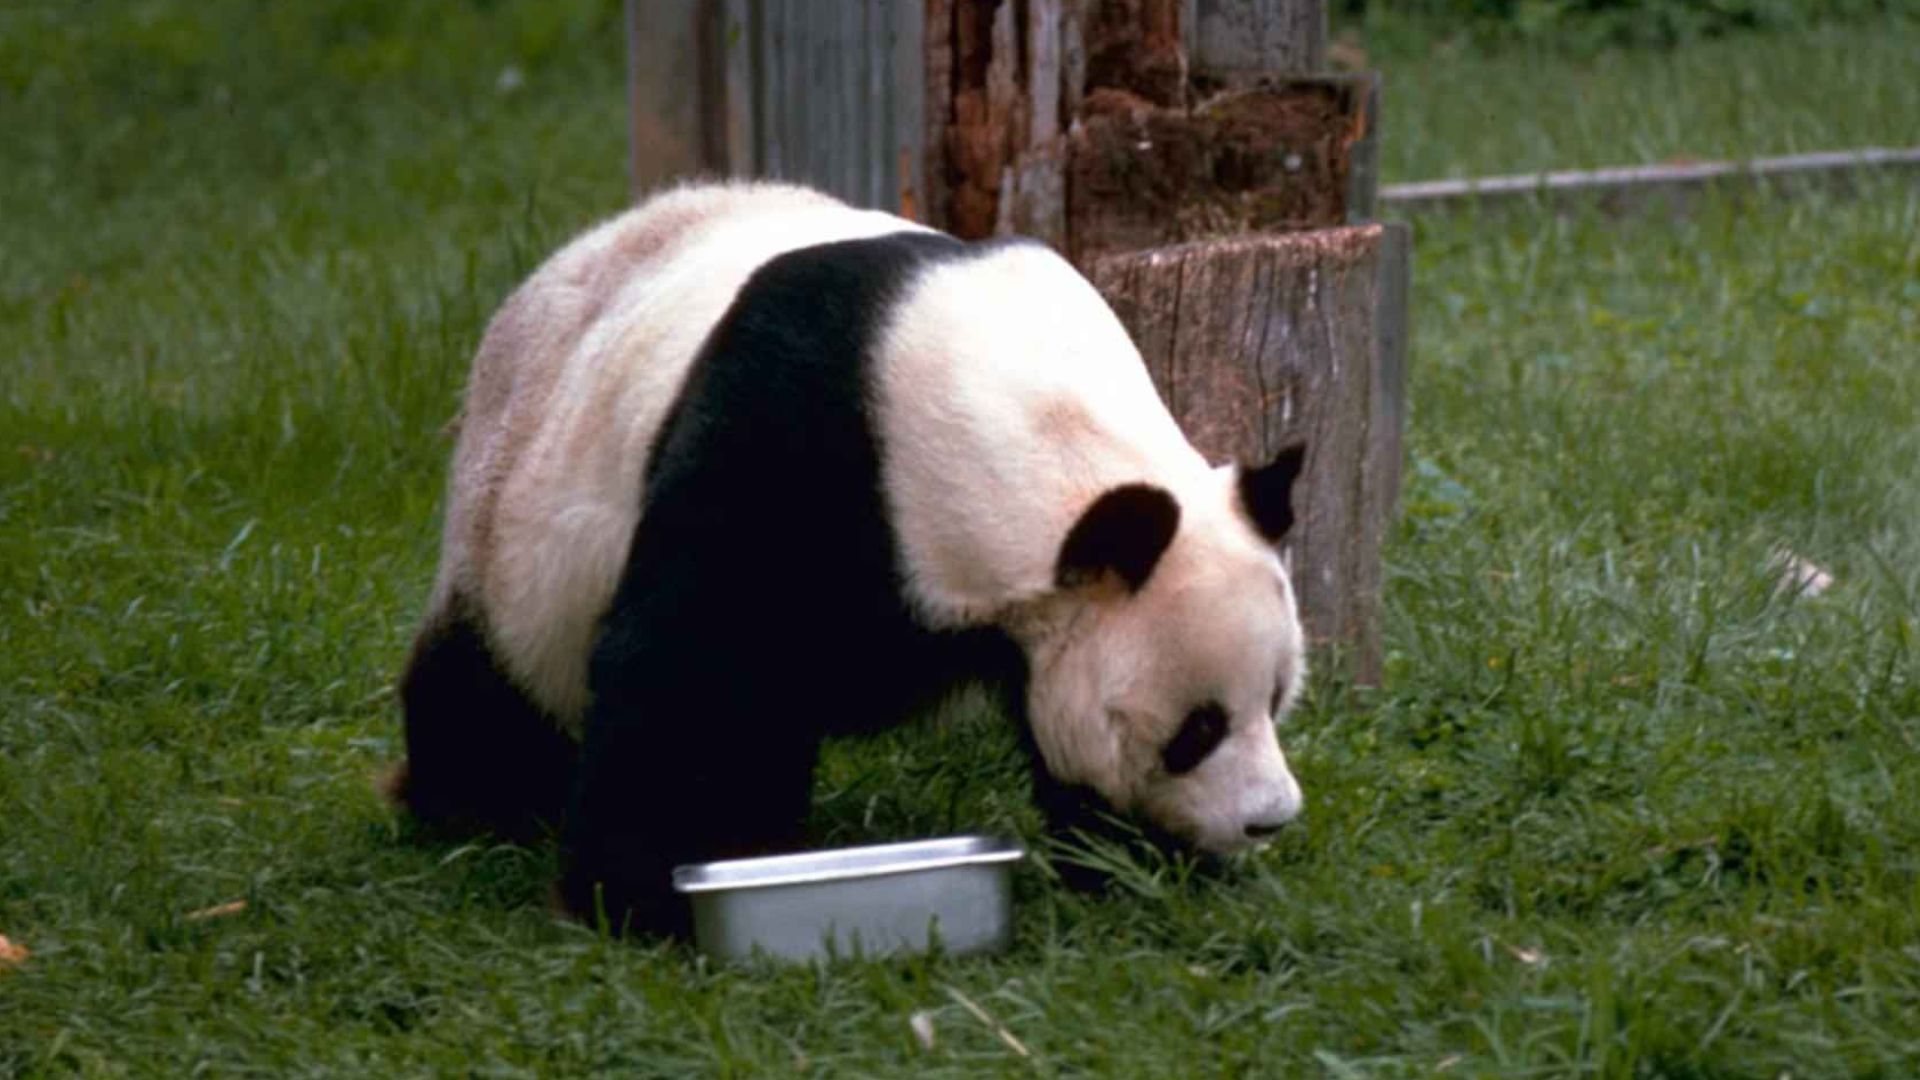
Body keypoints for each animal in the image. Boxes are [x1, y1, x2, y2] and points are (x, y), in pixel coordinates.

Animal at [387, 181, 1310, 934]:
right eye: (1198, 728)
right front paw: (638, 897)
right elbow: (688, 672)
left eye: (1274, 698)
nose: (1270, 819)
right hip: (515, 523)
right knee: (490, 687)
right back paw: (469, 803)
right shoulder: (787, 432)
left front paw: (1135, 863)